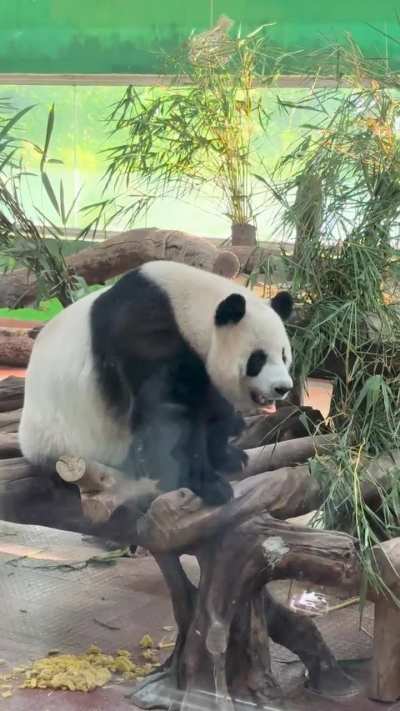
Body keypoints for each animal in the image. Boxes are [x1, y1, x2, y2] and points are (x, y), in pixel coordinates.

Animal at [19, 261, 293, 512]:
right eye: (257, 359)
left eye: (284, 355)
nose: (283, 387)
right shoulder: (145, 330)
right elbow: (170, 415)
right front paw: (210, 485)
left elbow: (210, 406)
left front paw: (229, 456)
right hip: (74, 439)